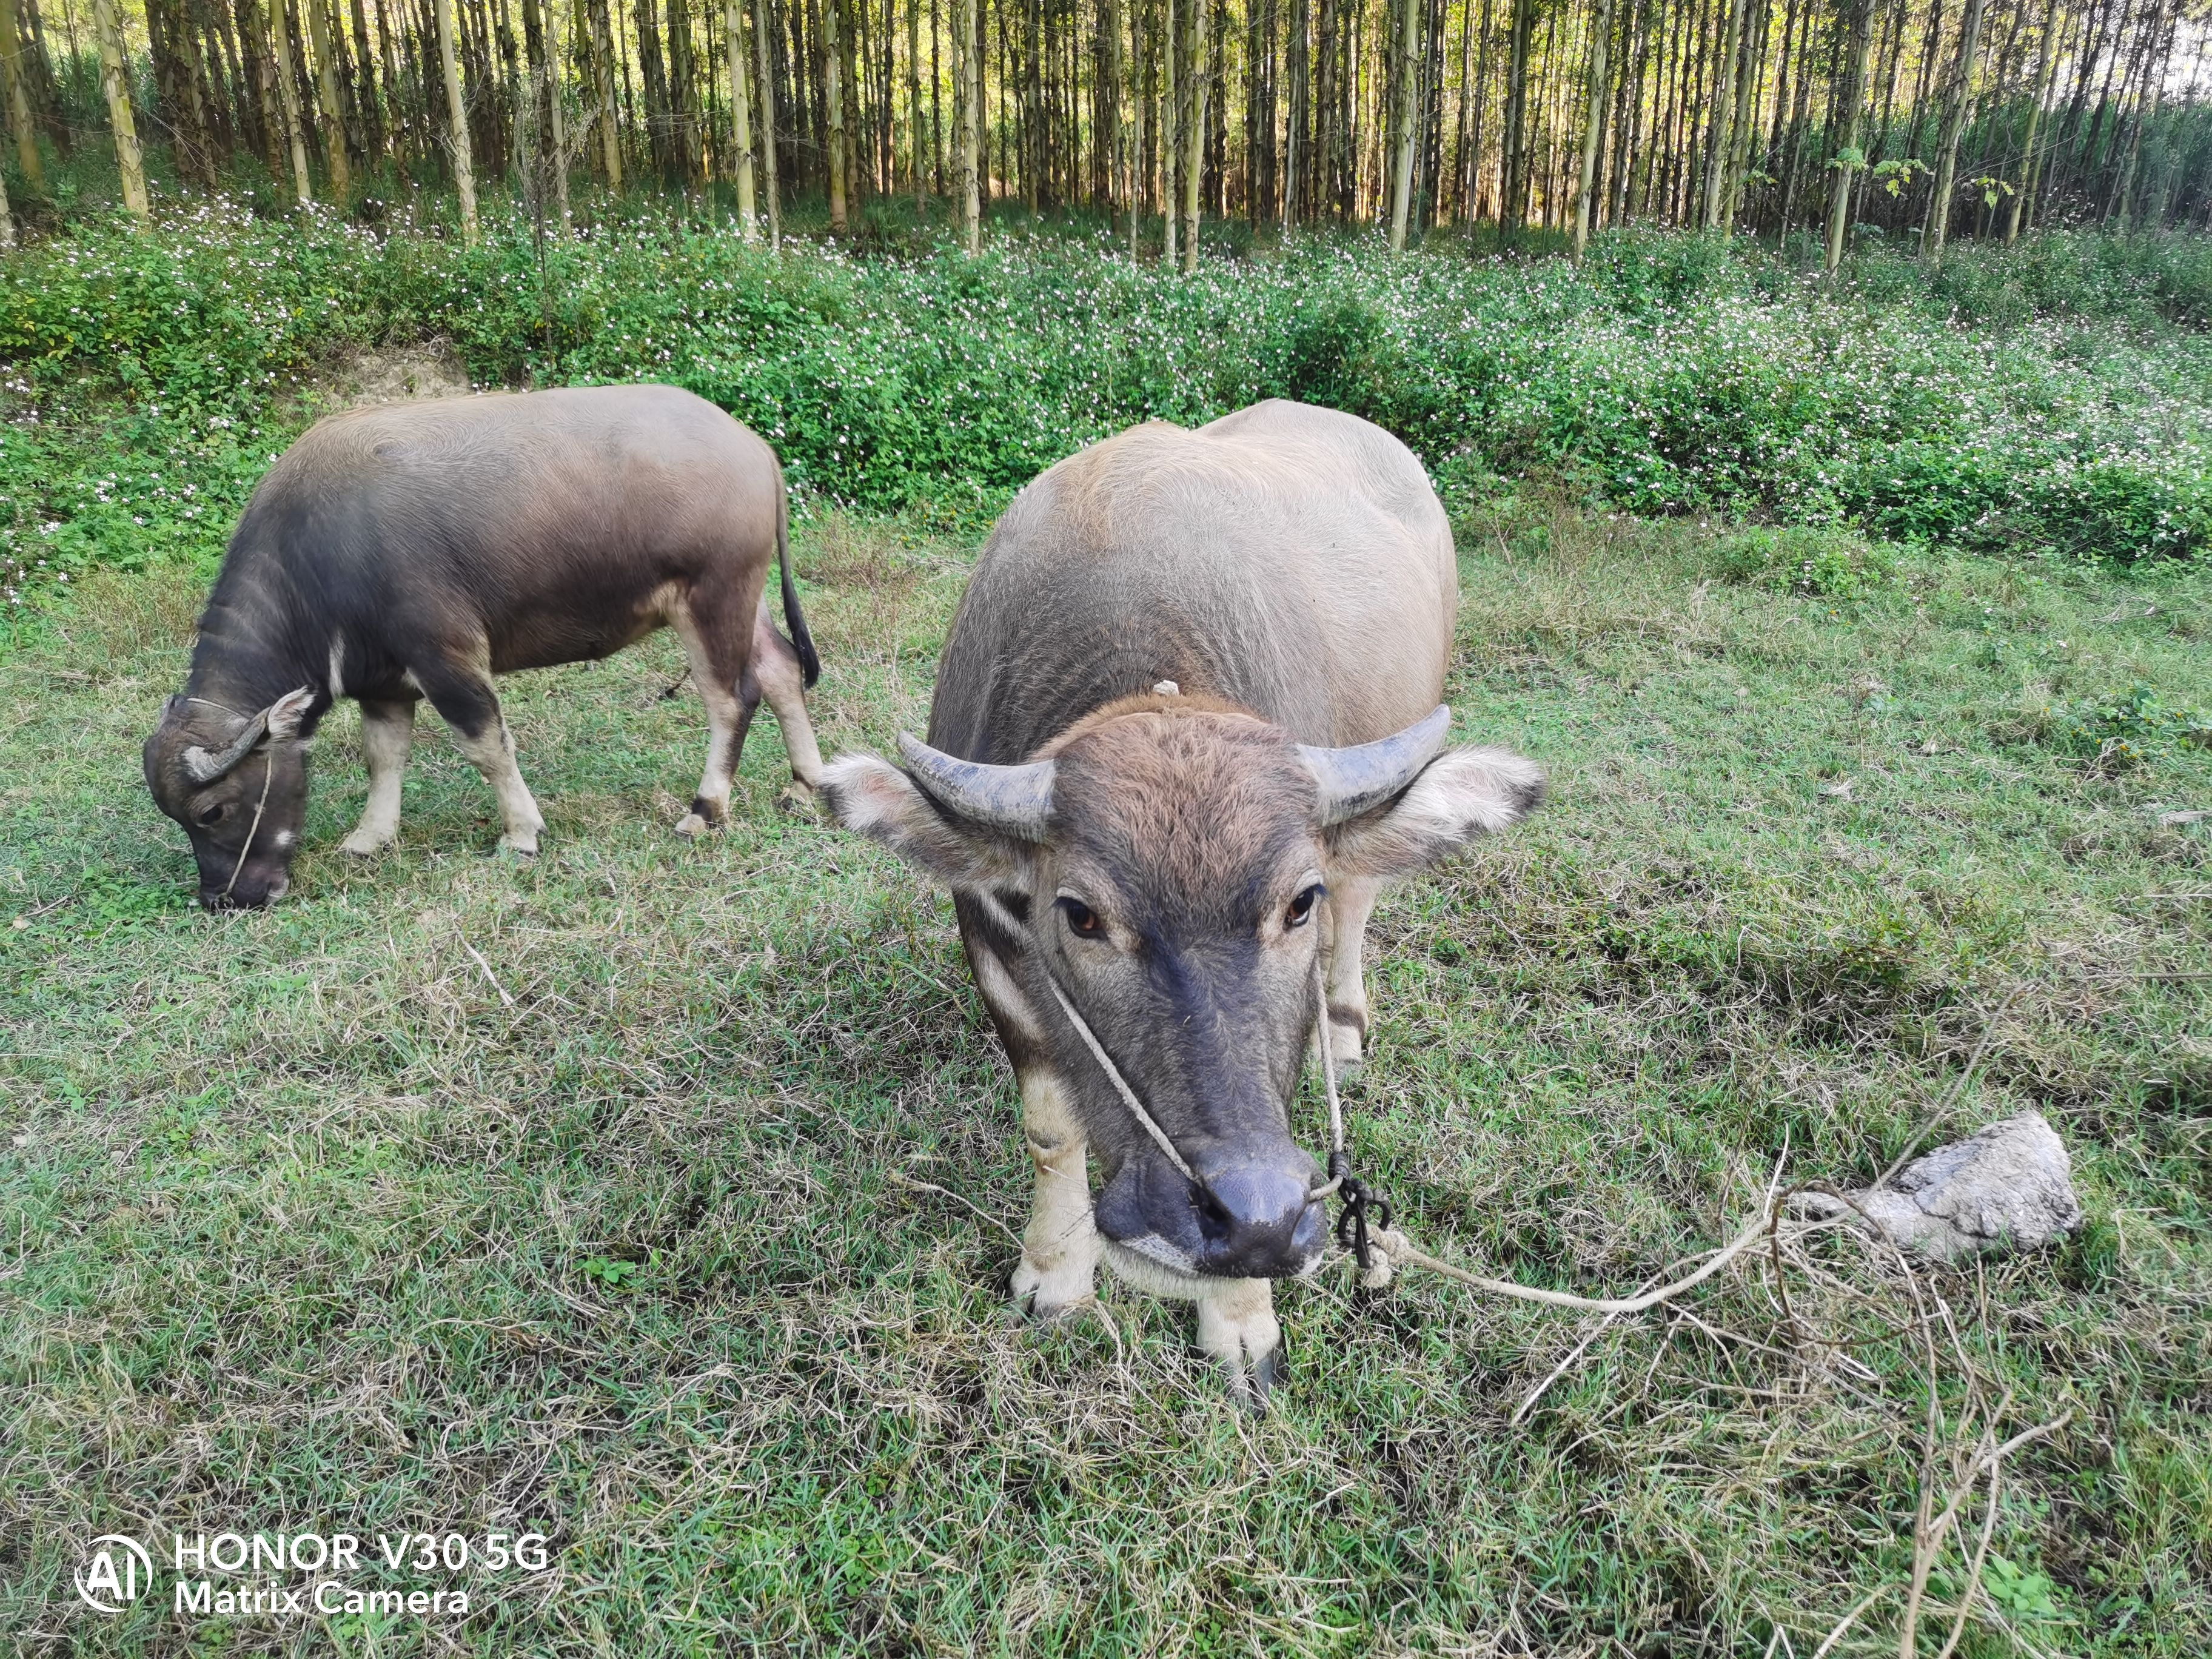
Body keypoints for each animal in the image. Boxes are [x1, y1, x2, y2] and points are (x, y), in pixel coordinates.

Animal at [144, 383, 823, 911]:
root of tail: (752, 446)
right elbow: (383, 758)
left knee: (731, 699)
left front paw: (521, 834)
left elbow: (486, 746)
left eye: (212, 812)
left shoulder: (446, 655)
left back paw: (705, 810)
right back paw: (805, 785)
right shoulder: (382, 683)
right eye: (174, 817)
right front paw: (370, 837)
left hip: (711, 597)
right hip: (748, 596)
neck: (316, 563)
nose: (225, 899)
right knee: (782, 668)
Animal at [823, 400, 1548, 1407]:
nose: (1252, 1221)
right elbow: (1050, 1129)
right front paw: (1055, 1274)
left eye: (1296, 904)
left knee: (1366, 898)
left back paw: (1345, 1028)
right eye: (1081, 915)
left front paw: (1241, 1322)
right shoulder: (994, 950)